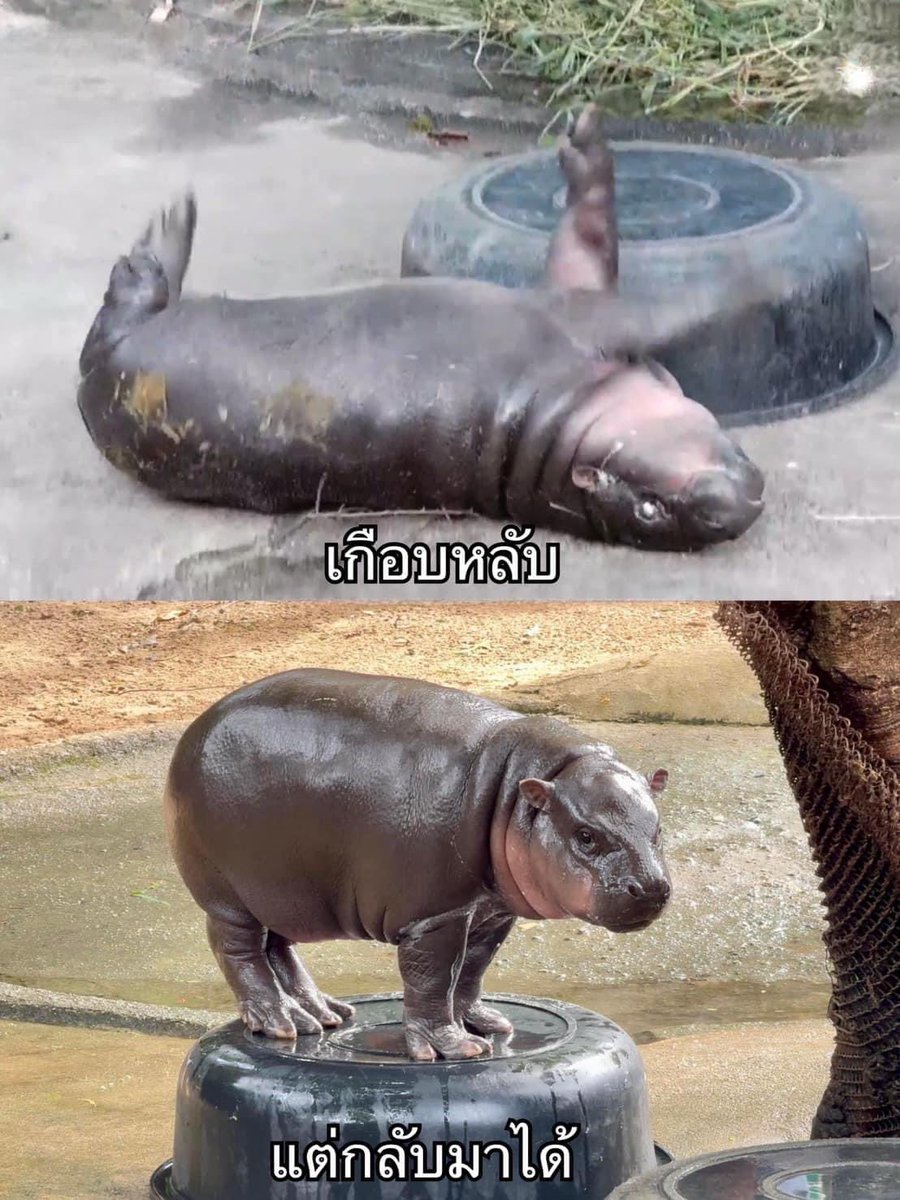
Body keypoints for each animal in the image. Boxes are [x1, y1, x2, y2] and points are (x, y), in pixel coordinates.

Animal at [77, 107, 765, 552]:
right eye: (648, 507)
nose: (722, 515)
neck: (555, 427)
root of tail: (92, 381)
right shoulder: (578, 309)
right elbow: (601, 247)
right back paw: (173, 219)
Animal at [164, 668, 672, 1061]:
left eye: (659, 825)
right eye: (585, 835)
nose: (650, 887)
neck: (520, 789)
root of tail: (196, 726)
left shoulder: (490, 911)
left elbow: (471, 971)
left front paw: (485, 1023)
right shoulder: (435, 915)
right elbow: (433, 978)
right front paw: (455, 1048)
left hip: (285, 891)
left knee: (280, 948)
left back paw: (323, 1015)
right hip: (230, 895)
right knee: (238, 949)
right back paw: (279, 1022)